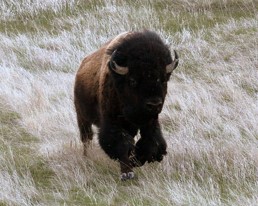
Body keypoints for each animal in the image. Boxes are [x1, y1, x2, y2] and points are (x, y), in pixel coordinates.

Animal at [74, 30, 178, 180]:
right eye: (133, 80)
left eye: (163, 79)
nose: (154, 104)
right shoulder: (113, 123)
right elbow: (122, 145)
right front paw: (127, 173)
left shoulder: (150, 123)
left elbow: (152, 144)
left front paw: (136, 161)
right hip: (82, 118)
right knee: (86, 139)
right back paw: (87, 158)